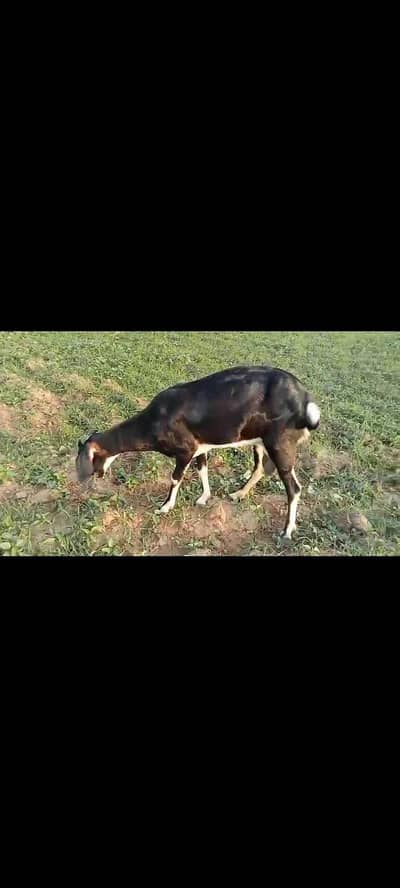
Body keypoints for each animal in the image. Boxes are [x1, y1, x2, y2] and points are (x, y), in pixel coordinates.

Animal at [76, 366, 320, 539]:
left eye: (84, 461)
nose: (85, 481)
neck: (154, 420)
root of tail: (305, 402)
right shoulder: (200, 447)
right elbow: (203, 468)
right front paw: (204, 498)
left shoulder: (185, 449)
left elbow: (175, 478)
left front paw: (165, 507)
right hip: (260, 441)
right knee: (260, 467)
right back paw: (238, 494)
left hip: (280, 443)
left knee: (294, 487)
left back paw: (287, 531)